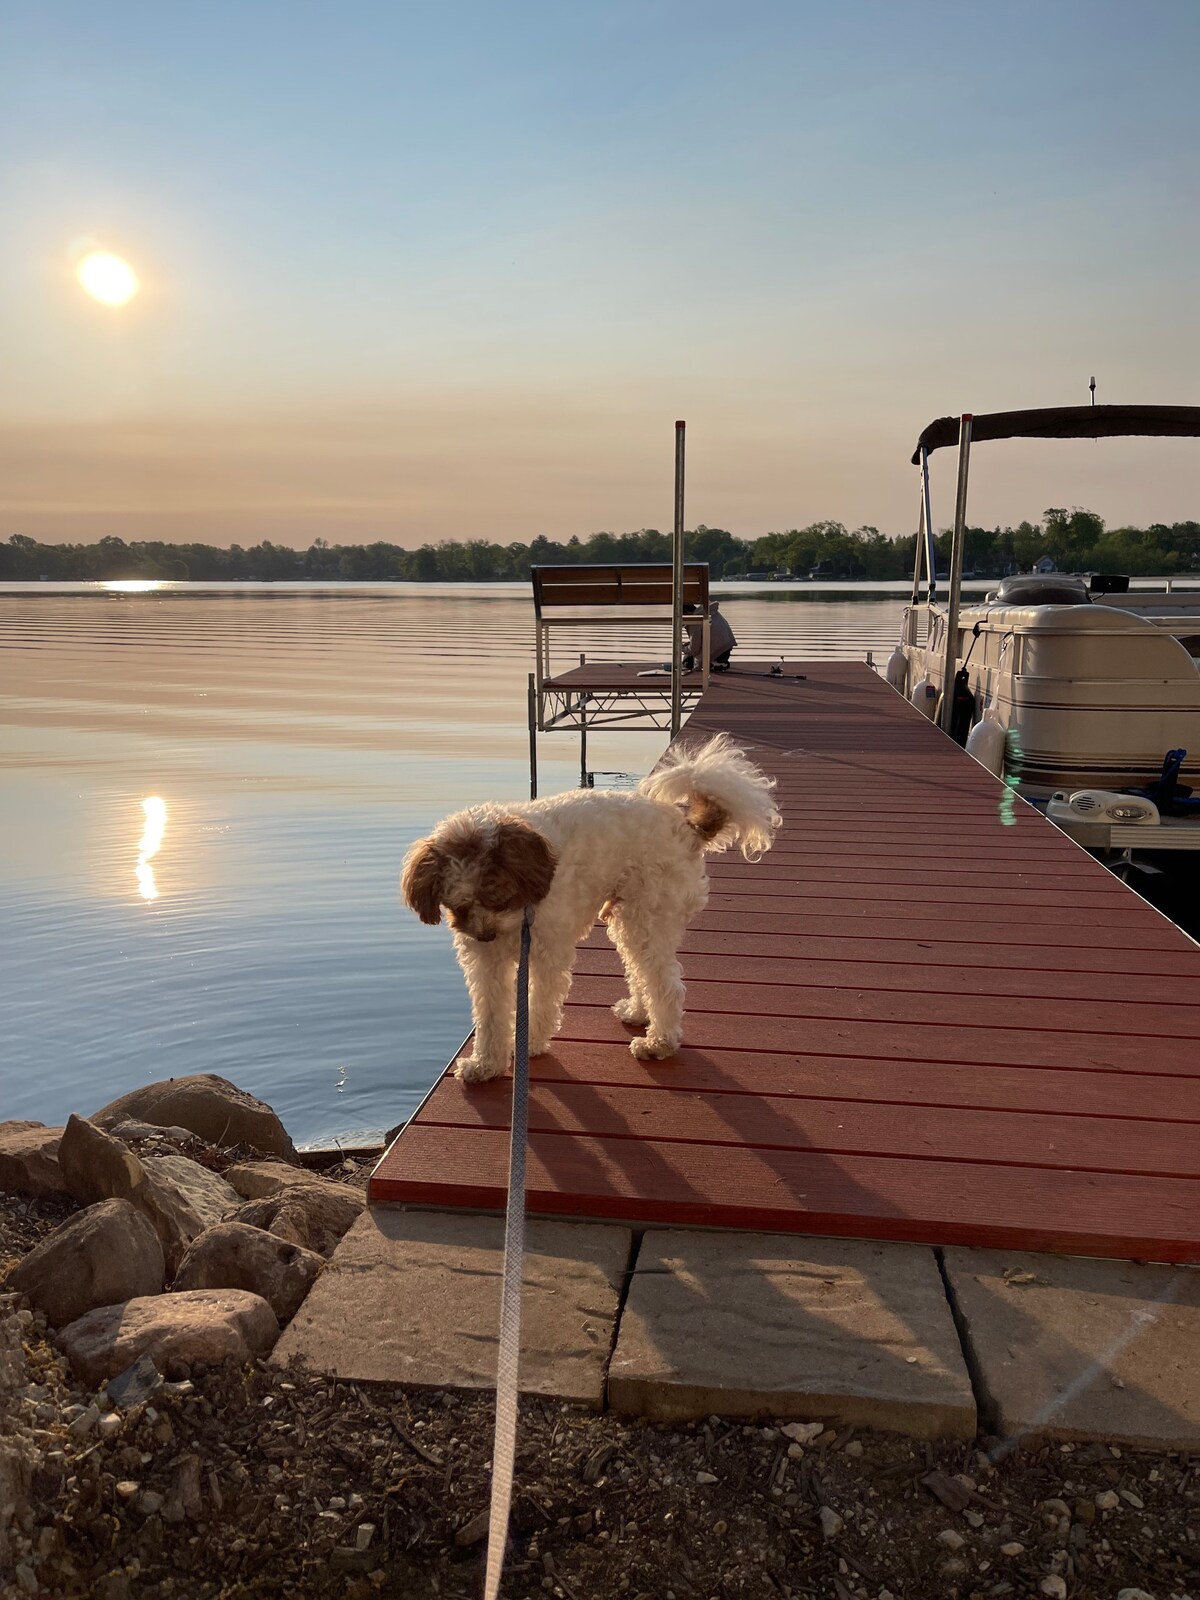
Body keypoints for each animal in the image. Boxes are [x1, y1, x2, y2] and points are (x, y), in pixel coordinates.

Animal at [400, 736, 784, 1088]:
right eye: (459, 906)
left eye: (498, 895)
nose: (486, 934)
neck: (526, 903)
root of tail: (687, 828)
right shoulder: (486, 963)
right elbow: (490, 1014)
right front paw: (485, 1065)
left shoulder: (546, 954)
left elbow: (538, 1004)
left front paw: (528, 1045)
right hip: (629, 917)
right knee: (643, 971)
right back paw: (638, 1011)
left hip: (647, 916)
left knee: (666, 984)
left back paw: (658, 1043)